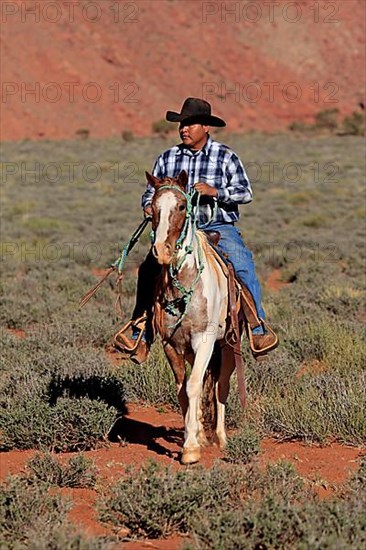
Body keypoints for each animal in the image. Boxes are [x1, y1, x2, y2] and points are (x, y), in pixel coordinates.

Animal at [146, 169, 243, 466]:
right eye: (152, 208)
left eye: (180, 206)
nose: (162, 251)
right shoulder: (171, 344)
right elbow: (183, 390)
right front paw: (195, 437)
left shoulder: (205, 340)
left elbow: (194, 387)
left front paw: (190, 449)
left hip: (226, 346)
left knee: (220, 386)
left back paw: (221, 438)